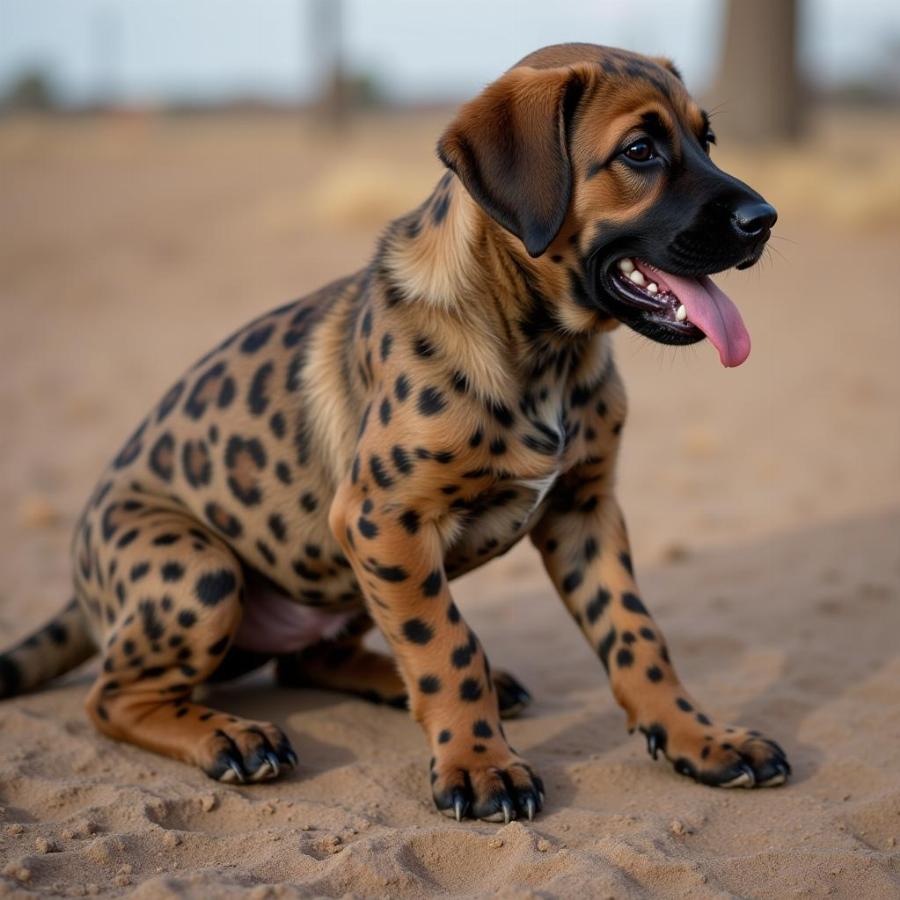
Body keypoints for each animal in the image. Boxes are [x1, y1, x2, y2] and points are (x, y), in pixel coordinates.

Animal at [0, 47, 788, 824]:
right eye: (640, 151)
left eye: (707, 140)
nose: (766, 219)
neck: (546, 355)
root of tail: (83, 589)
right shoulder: (384, 520)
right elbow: (445, 645)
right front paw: (480, 766)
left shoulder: (585, 510)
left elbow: (636, 634)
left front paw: (699, 737)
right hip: (200, 567)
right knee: (112, 697)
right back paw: (231, 736)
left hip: (332, 579)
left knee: (305, 658)